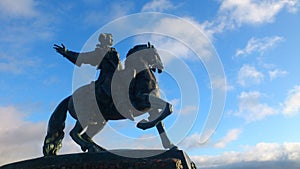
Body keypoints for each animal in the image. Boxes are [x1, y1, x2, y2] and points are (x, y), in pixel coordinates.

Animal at [43, 42, 177, 156]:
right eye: (155, 53)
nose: (161, 67)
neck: (141, 78)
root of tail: (70, 97)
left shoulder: (151, 107)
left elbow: (161, 121)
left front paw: (170, 145)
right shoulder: (142, 100)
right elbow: (168, 108)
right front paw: (142, 124)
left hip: (100, 120)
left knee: (86, 135)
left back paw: (99, 149)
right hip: (85, 117)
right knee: (74, 133)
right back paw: (91, 147)